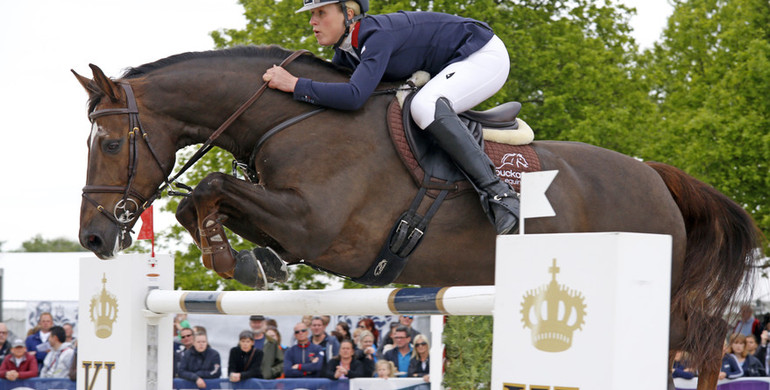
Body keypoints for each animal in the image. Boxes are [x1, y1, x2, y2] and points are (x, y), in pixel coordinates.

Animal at [75, 45, 760, 386]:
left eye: (107, 143)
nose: (95, 236)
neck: (293, 114)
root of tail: (655, 175)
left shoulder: (319, 227)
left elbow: (209, 187)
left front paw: (230, 258)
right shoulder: (294, 227)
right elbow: (203, 200)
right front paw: (248, 261)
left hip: (656, 291)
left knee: (706, 340)